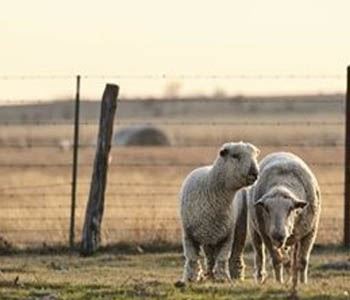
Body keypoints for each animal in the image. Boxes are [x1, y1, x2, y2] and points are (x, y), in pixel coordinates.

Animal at [180, 142, 260, 282]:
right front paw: (190, 278)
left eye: (255, 156)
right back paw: (209, 274)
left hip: (239, 226)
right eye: (235, 155)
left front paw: (222, 278)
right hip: (208, 234)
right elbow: (192, 259)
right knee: (209, 256)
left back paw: (235, 274)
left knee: (236, 250)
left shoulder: (227, 235)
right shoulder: (188, 235)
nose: (255, 173)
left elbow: (222, 258)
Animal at [249, 152, 320, 288]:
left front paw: (303, 283)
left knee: (291, 258)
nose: (278, 235)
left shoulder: (310, 232)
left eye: (291, 209)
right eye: (266, 209)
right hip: (254, 230)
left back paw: (293, 277)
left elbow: (302, 261)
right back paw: (260, 277)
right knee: (260, 254)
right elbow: (276, 260)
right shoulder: (266, 235)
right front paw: (278, 282)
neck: (281, 183)